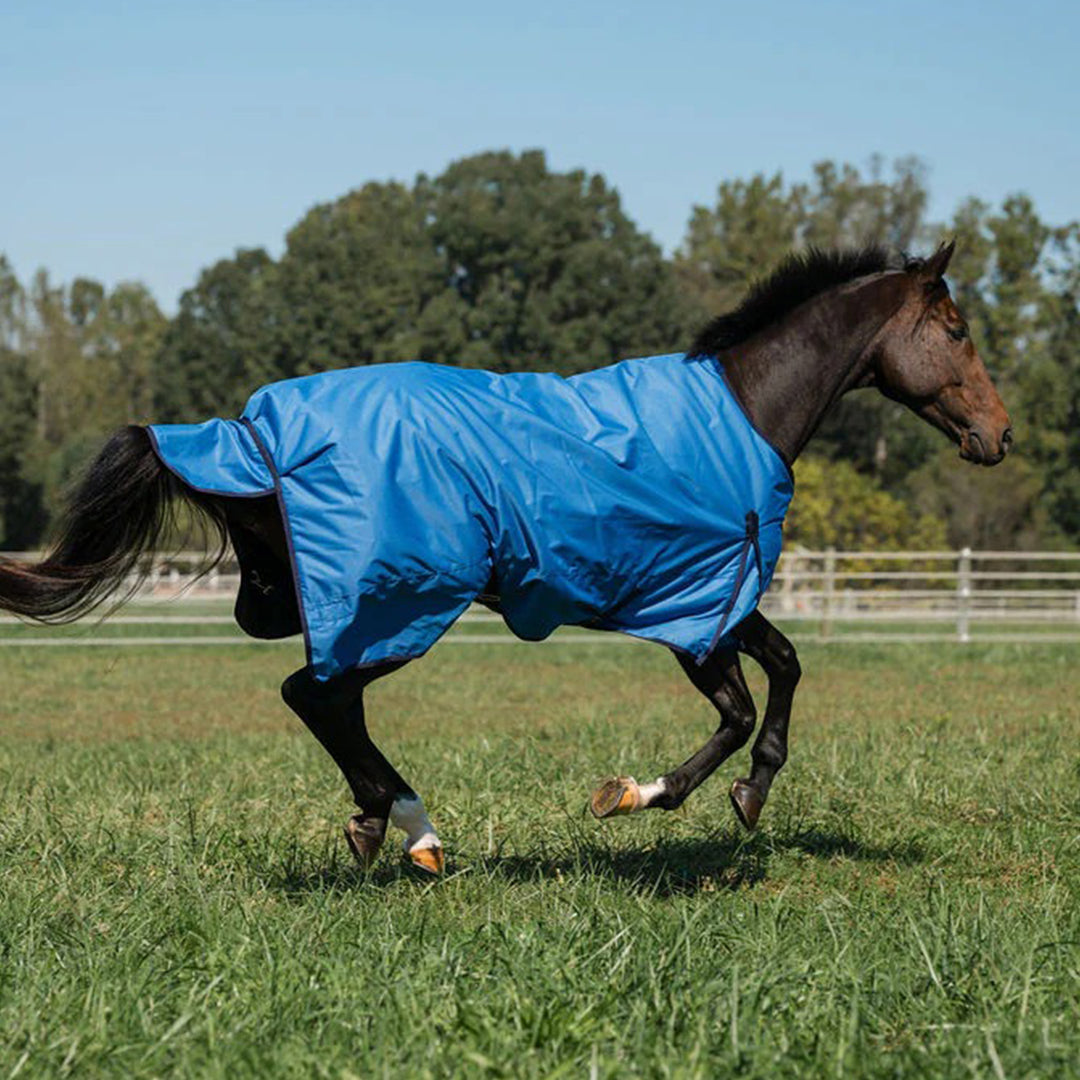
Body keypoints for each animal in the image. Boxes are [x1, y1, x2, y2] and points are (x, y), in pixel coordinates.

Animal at [0, 242, 1011, 875]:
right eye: (958, 331)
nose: (999, 436)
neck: (741, 412)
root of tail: (249, 437)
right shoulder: (692, 608)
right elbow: (739, 707)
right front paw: (647, 795)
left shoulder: (711, 599)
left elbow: (782, 672)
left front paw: (725, 795)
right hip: (402, 597)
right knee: (315, 695)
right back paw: (408, 829)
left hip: (345, 600)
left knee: (331, 699)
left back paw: (389, 826)